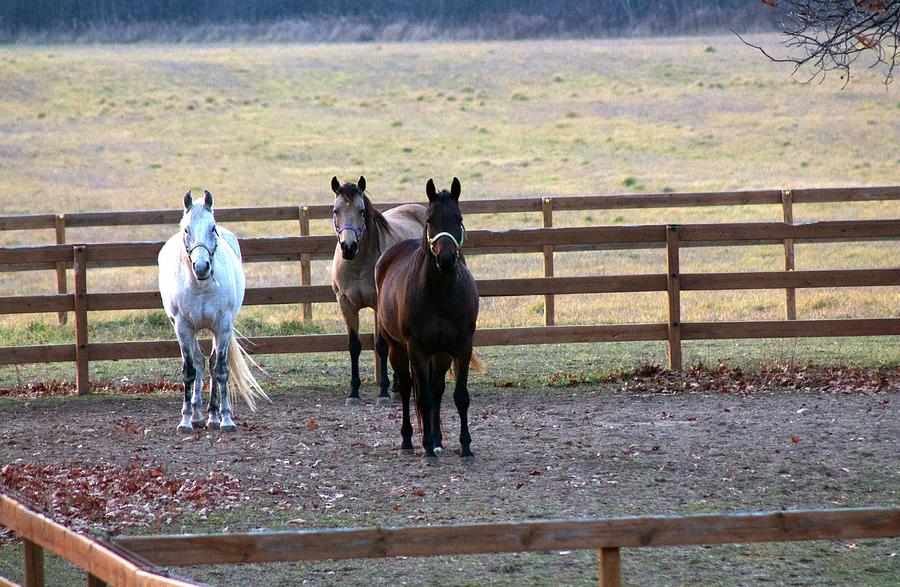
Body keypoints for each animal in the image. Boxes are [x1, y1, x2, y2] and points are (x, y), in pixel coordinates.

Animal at [158, 189, 268, 432]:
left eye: (212, 227)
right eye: (186, 229)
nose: (201, 267)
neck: (200, 286)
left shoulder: (223, 327)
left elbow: (220, 369)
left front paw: (226, 419)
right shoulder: (183, 328)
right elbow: (189, 371)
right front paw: (185, 420)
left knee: (210, 363)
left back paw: (213, 416)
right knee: (199, 362)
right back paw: (198, 414)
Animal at [376, 179, 482, 460]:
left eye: (459, 218)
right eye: (430, 220)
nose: (445, 260)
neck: (439, 295)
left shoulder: (461, 347)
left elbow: (459, 396)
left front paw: (465, 445)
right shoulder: (417, 348)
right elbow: (421, 397)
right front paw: (427, 450)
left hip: (441, 353)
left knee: (436, 389)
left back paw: (436, 440)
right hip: (397, 348)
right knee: (406, 388)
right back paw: (409, 440)